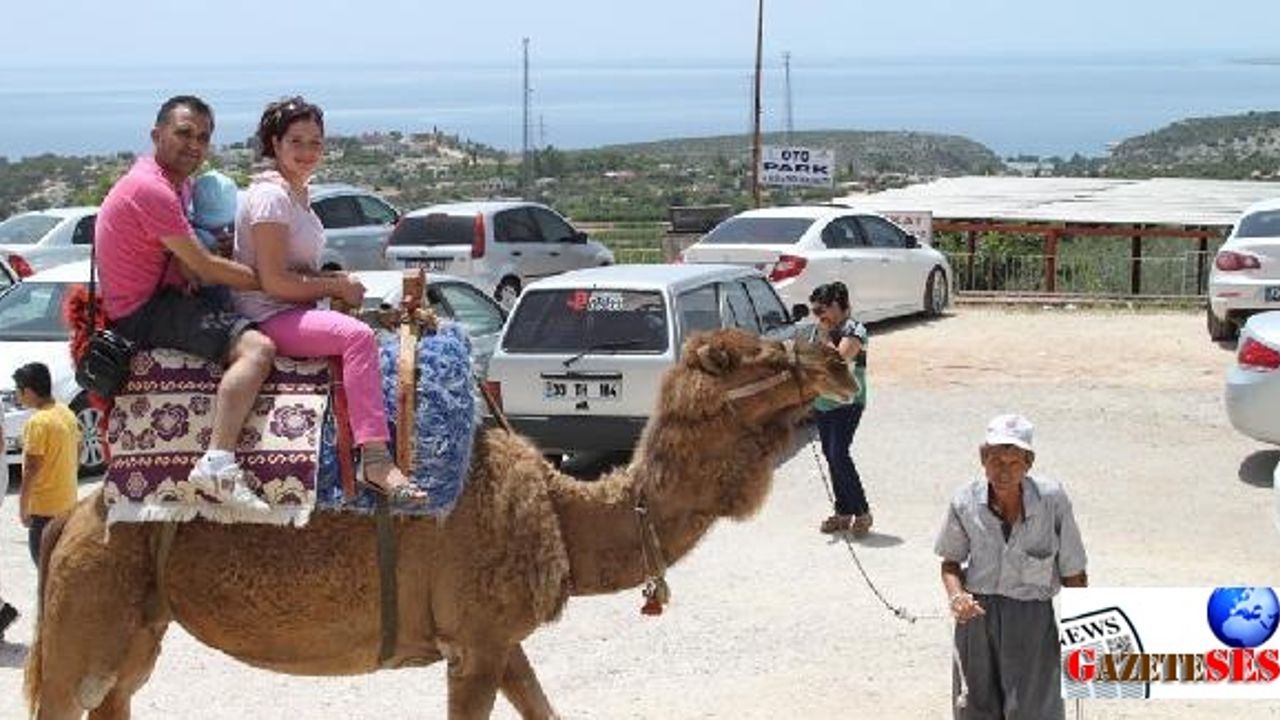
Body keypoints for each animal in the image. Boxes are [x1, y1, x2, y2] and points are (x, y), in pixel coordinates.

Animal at [25, 328, 855, 720]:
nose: (839, 359)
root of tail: (72, 517)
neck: (558, 512)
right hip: (86, 605)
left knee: (115, 699)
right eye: (742, 354)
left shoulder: (499, 640)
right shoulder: (474, 647)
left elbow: (546, 708)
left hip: (138, 627)